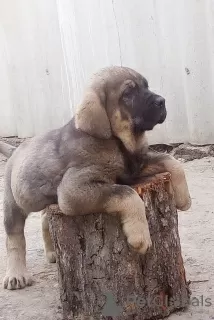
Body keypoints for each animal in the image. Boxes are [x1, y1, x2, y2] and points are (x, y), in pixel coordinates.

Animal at [0, 65, 191, 290]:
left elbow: (171, 160)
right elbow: (126, 193)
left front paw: (184, 198)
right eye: (128, 93)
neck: (118, 142)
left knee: (45, 218)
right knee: (14, 238)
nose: (162, 101)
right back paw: (16, 274)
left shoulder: (136, 166)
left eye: (146, 86)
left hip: (49, 198)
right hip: (13, 202)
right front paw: (139, 235)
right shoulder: (73, 190)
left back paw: (53, 252)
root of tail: (15, 150)